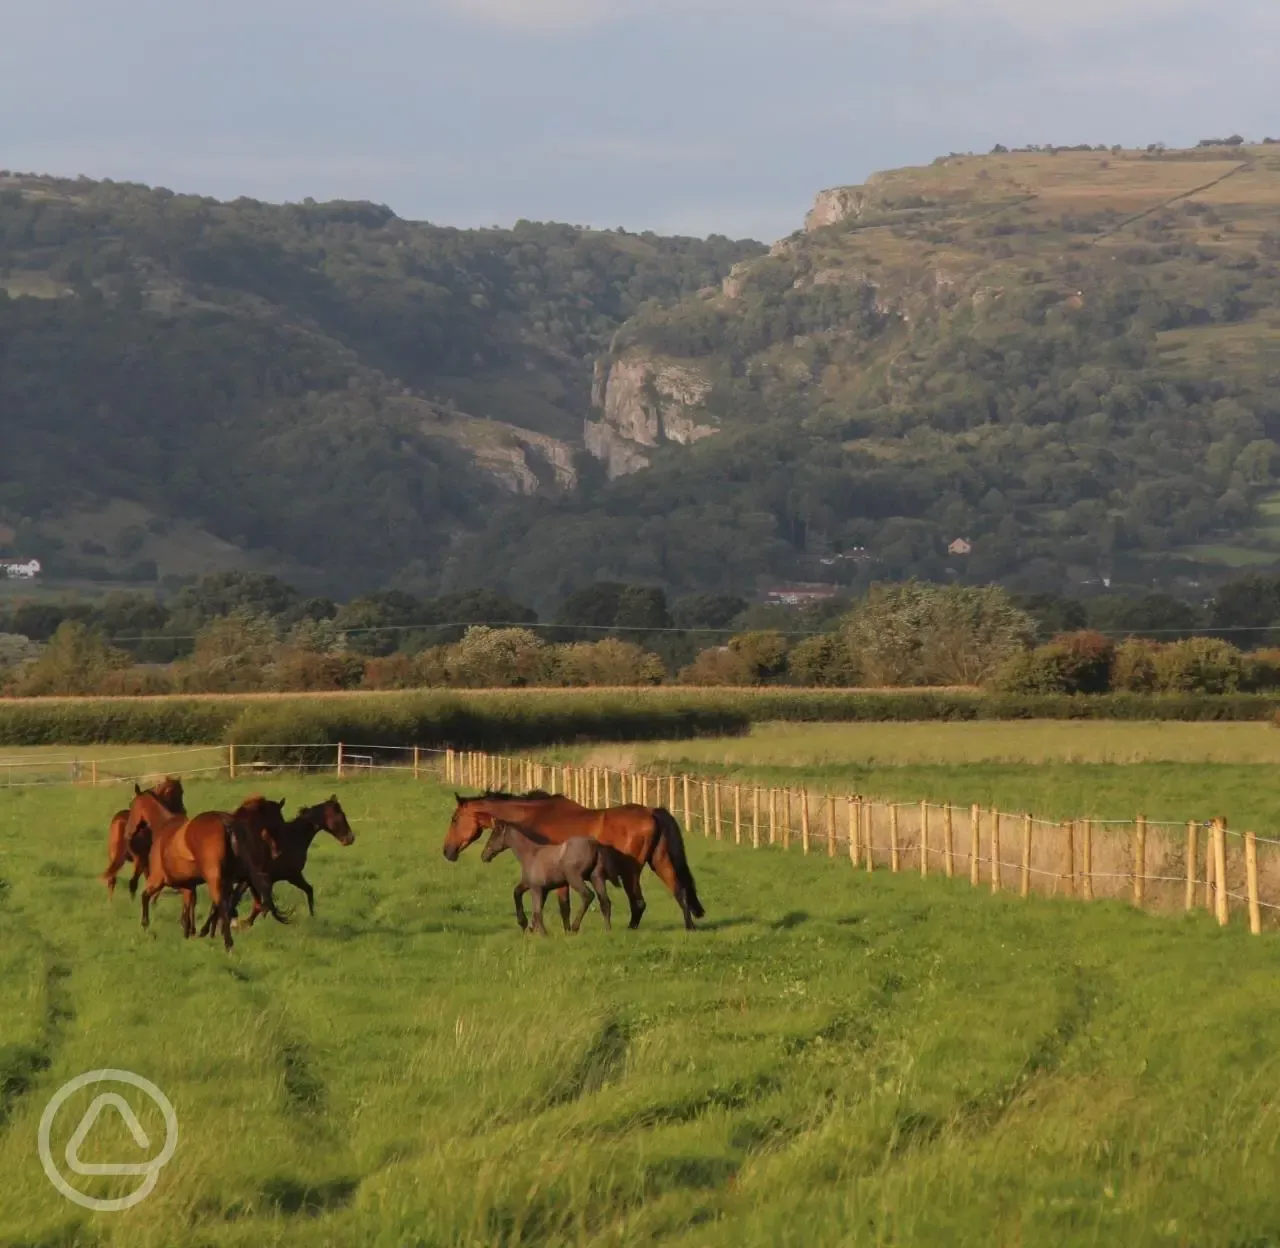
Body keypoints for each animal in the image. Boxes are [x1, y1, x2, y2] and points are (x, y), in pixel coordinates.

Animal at [124, 783, 290, 952]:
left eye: (131, 805)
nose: (128, 833)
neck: (164, 827)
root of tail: (227, 824)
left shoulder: (159, 879)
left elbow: (145, 896)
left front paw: (145, 925)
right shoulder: (189, 886)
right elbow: (188, 908)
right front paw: (189, 933)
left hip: (215, 879)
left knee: (222, 904)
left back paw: (227, 942)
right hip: (230, 878)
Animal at [197, 793, 355, 931]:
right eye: (341, 816)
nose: (350, 838)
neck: (295, 837)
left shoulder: (279, 878)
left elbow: (305, 891)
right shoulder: (290, 876)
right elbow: (262, 904)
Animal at [481, 819, 619, 936]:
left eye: (493, 836)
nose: (483, 856)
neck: (531, 854)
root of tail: (594, 844)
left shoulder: (536, 888)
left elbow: (537, 911)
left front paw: (542, 933)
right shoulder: (536, 887)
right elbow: (518, 894)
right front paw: (526, 925)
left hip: (575, 878)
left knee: (587, 896)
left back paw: (574, 928)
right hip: (596, 877)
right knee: (605, 902)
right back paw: (608, 931)